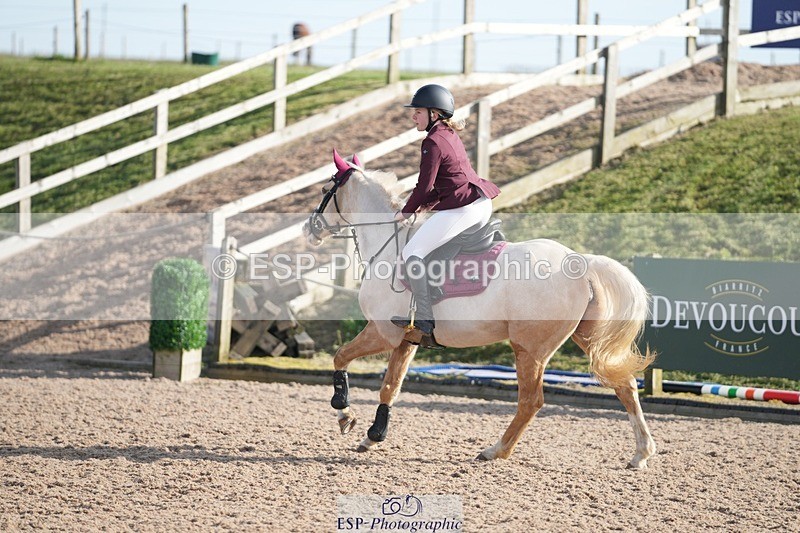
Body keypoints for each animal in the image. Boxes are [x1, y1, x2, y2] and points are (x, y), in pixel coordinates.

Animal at [302, 150, 657, 469]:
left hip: (528, 349)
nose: (309, 229)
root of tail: (580, 261)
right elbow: (390, 387)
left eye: (324, 191)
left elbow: (340, 357)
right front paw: (373, 435)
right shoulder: (406, 341)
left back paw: (495, 451)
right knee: (625, 386)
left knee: (531, 401)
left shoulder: (383, 332)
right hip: (586, 339)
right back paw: (641, 454)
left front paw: (344, 413)